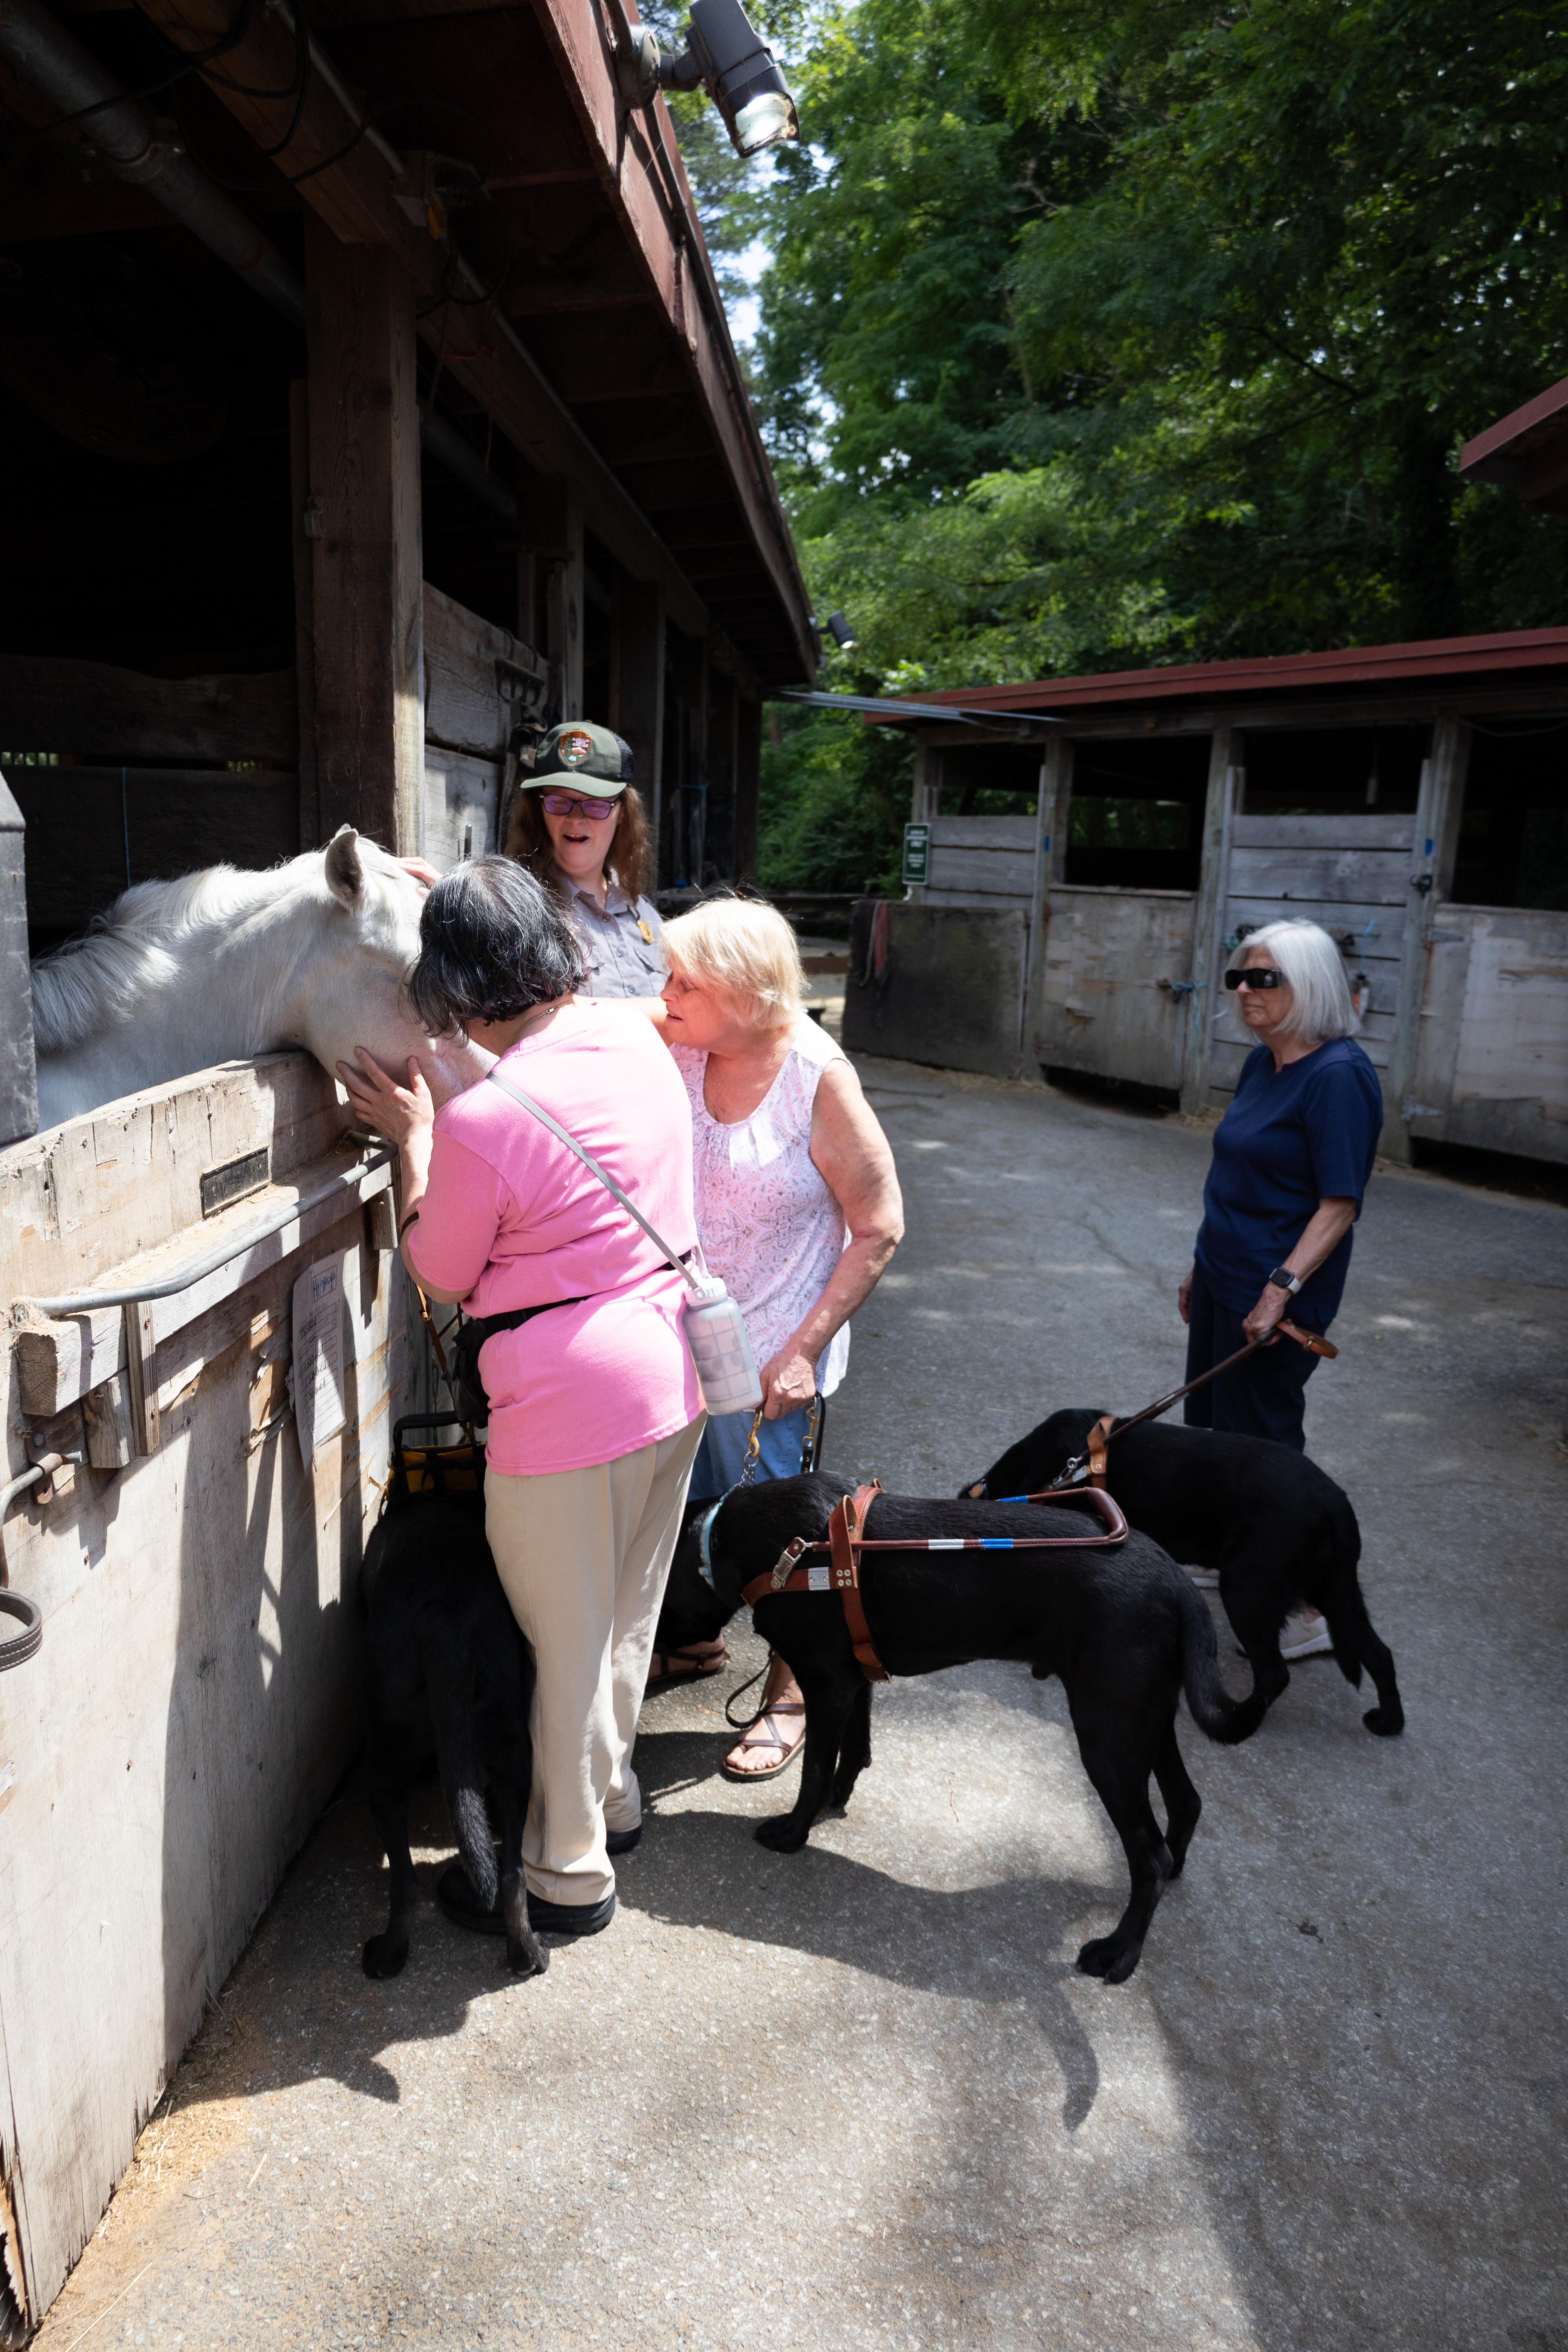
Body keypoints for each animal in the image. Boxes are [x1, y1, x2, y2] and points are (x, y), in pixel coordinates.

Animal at [359, 1496, 545, 1975]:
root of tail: (448, 1622)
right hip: (511, 1746)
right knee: (512, 1874)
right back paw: (527, 1953)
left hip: (386, 1758)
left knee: (405, 1883)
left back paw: (386, 1958)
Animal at [668, 1467, 1260, 1985]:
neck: (729, 1541)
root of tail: (1179, 1584)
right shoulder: (852, 1678)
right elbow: (854, 1751)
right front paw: (837, 1800)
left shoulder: (826, 1681)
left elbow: (814, 1770)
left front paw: (794, 1832)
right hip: (1144, 1719)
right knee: (1185, 1804)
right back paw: (1173, 1877)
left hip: (1108, 1735)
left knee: (1150, 1856)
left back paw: (1120, 1952)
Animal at [973, 1402, 1401, 1740]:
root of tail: (1336, 1505)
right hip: (1337, 1594)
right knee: (1380, 1654)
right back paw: (1389, 1722)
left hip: (1247, 1591)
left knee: (1274, 1673)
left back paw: (1237, 1718)